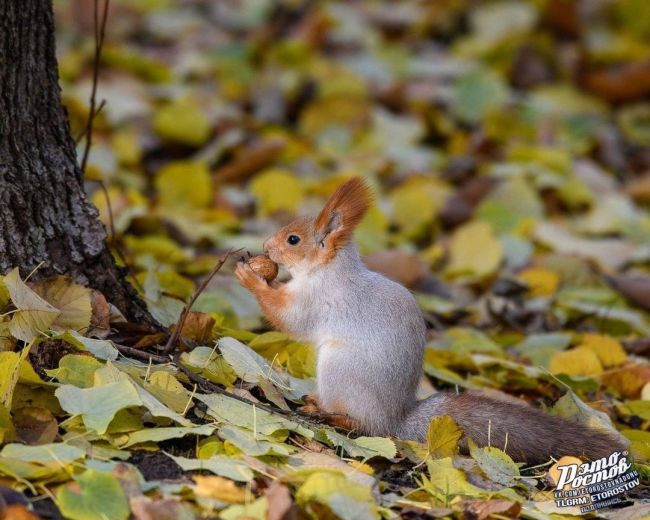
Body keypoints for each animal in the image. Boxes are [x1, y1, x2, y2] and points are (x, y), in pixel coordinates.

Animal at [235, 176, 624, 464]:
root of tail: (396, 419)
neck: (329, 269)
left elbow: (289, 318)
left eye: (293, 239)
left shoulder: (319, 300)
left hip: (340, 368)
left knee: (366, 426)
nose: (266, 247)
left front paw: (250, 276)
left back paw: (329, 413)